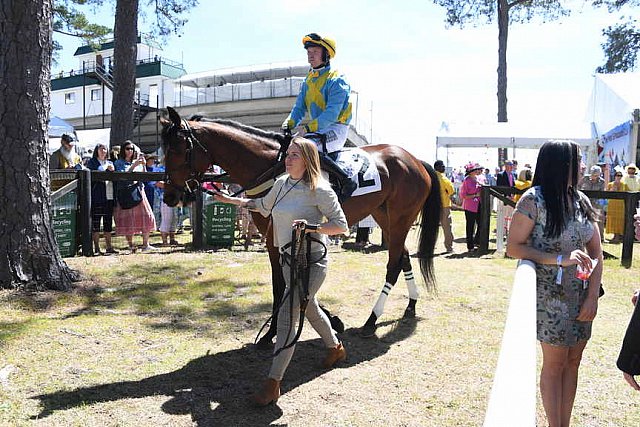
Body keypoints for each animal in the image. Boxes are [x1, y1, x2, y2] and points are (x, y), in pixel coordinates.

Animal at [160, 107, 440, 344]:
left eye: (177, 149)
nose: (170, 196)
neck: (272, 168)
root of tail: (415, 160)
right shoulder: (273, 237)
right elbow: (282, 281)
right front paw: (329, 320)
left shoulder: (283, 233)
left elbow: (283, 282)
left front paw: (272, 333)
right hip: (385, 217)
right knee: (403, 257)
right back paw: (410, 305)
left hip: (401, 217)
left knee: (393, 264)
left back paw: (372, 320)